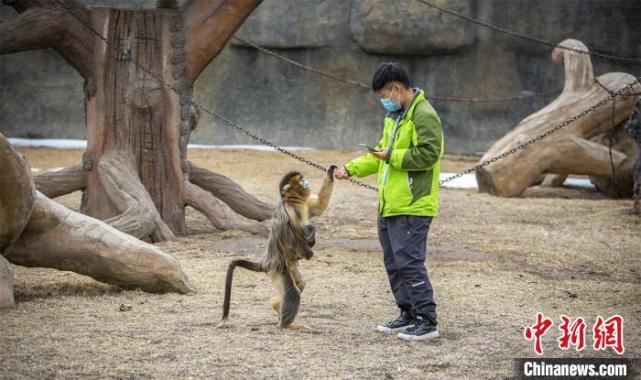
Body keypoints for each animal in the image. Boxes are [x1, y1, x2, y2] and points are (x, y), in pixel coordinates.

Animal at [219, 165, 340, 328]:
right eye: (300, 180)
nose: (306, 181)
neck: (294, 202)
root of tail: (267, 261)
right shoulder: (290, 213)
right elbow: (290, 237)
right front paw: (309, 247)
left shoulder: (304, 204)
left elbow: (318, 207)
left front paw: (331, 172)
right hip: (279, 268)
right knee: (293, 292)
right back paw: (286, 324)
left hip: (286, 267)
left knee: (300, 284)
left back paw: (276, 305)